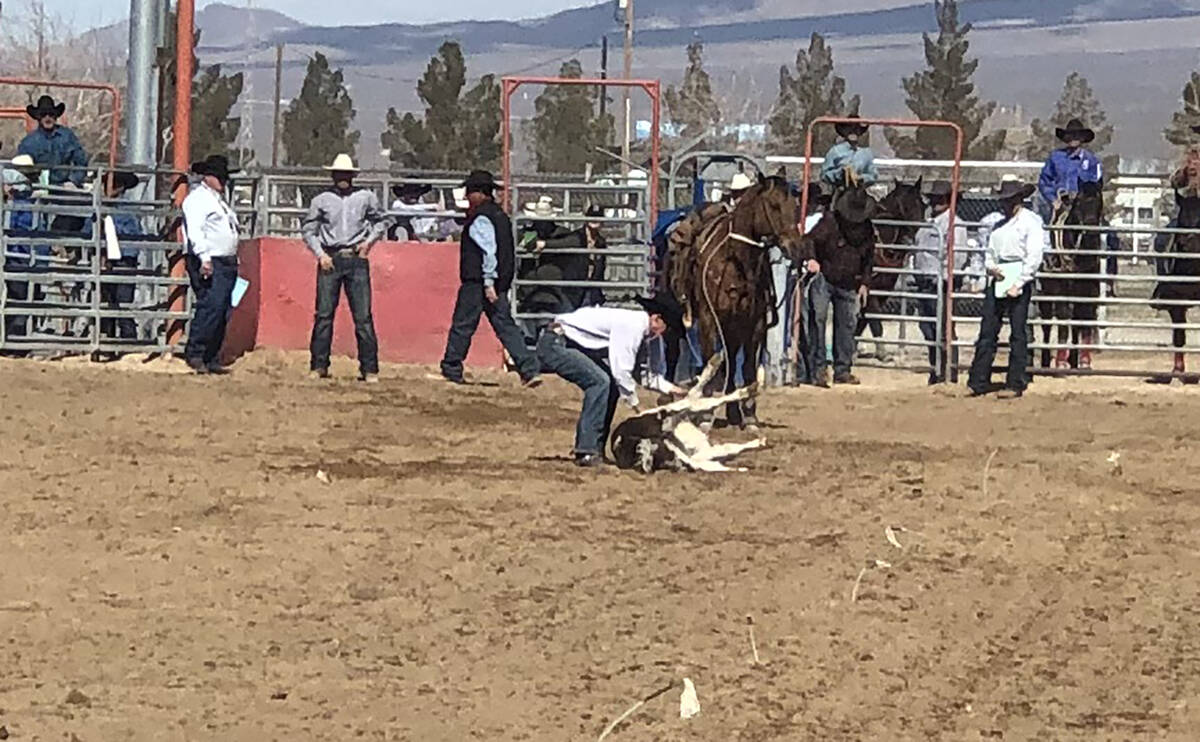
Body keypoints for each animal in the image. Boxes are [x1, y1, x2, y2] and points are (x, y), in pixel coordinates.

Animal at [672, 172, 801, 425]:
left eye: (795, 205)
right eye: (774, 205)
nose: (796, 247)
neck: (736, 262)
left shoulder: (754, 323)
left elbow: (748, 366)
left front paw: (749, 414)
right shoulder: (709, 319)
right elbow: (712, 362)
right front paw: (705, 411)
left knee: (732, 360)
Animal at [1036, 180, 1099, 369]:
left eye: (1099, 201)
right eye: (1079, 202)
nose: (1091, 230)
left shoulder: (1089, 291)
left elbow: (1084, 322)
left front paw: (1083, 361)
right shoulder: (1061, 291)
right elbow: (1064, 322)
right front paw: (1061, 362)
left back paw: (1074, 359)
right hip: (1045, 296)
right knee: (1047, 325)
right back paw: (1047, 360)